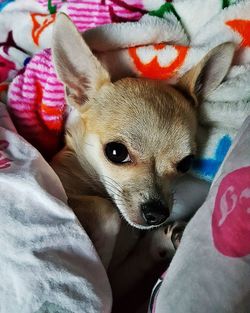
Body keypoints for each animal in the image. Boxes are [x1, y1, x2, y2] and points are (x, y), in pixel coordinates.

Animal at [50, 13, 234, 310]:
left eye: (186, 163)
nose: (157, 213)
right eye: (115, 152)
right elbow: (107, 213)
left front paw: (162, 241)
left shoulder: (115, 286)